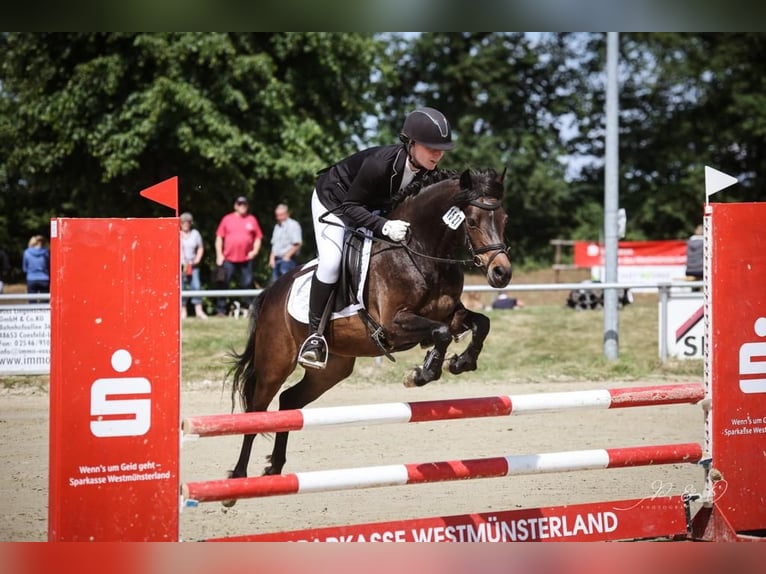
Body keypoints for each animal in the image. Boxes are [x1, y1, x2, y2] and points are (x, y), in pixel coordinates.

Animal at [225, 168, 512, 500]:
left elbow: (480, 324)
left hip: (332, 368)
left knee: (289, 401)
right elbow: (439, 333)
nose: (502, 273)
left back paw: (274, 468)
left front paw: (460, 362)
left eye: (504, 219)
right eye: (473, 221)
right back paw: (236, 481)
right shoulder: (392, 325)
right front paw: (420, 374)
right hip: (275, 363)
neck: (422, 251)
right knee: (257, 411)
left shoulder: (451, 315)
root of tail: (271, 292)